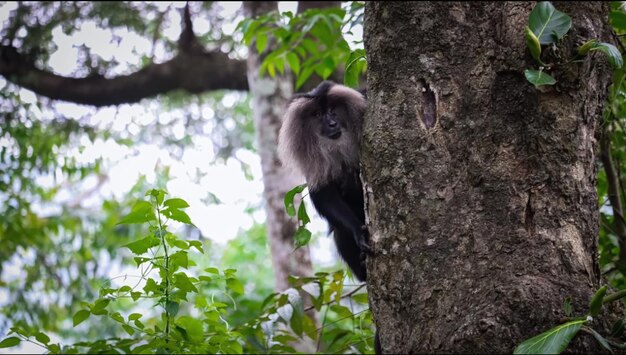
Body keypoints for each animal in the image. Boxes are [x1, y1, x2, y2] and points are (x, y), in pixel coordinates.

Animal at [276, 80, 368, 280]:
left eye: (333, 110)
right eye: (317, 115)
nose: (332, 124)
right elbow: (323, 195)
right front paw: (358, 230)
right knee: (340, 231)